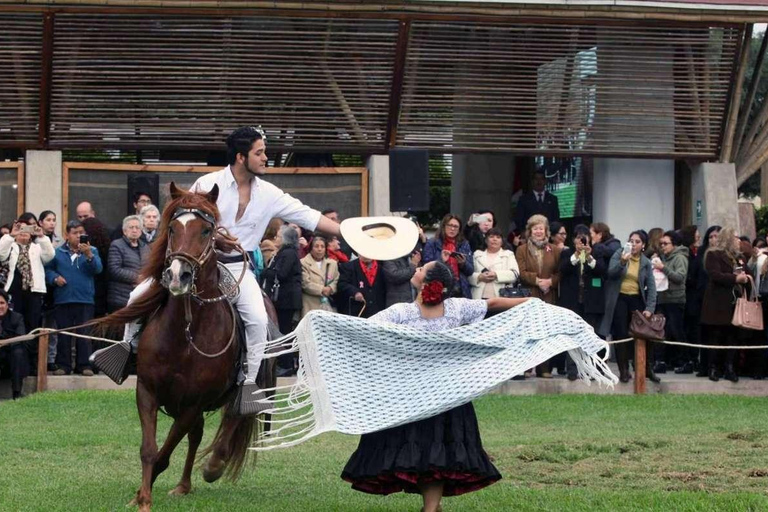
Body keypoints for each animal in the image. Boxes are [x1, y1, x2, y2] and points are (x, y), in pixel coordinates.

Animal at [99, 182, 272, 510]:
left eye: (207, 230)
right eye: (172, 228)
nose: (178, 275)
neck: (184, 335)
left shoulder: (193, 403)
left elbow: (166, 451)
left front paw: (145, 495)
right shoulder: (147, 391)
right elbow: (150, 449)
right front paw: (141, 497)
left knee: (233, 416)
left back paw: (213, 466)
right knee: (196, 436)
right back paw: (183, 485)